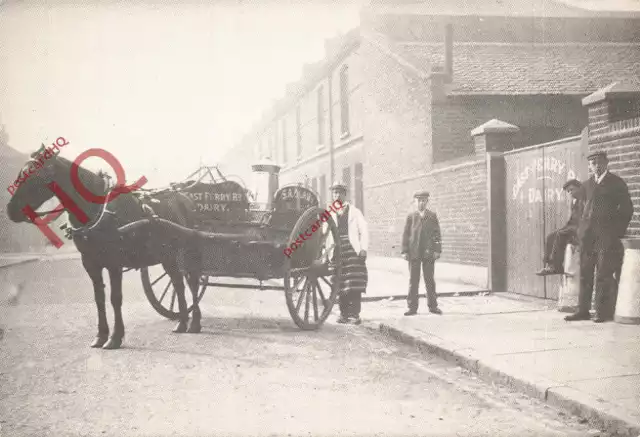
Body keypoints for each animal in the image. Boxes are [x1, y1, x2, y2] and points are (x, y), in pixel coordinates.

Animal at [5, 146, 202, 348]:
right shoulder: (90, 263)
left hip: (187, 253)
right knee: (179, 283)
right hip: (167, 256)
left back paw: (194, 322)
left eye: (35, 175)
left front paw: (115, 337)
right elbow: (99, 298)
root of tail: (185, 198)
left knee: (193, 283)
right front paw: (100, 336)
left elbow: (115, 298)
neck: (98, 210)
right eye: (21, 173)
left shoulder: (114, 262)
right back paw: (182, 322)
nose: (10, 210)